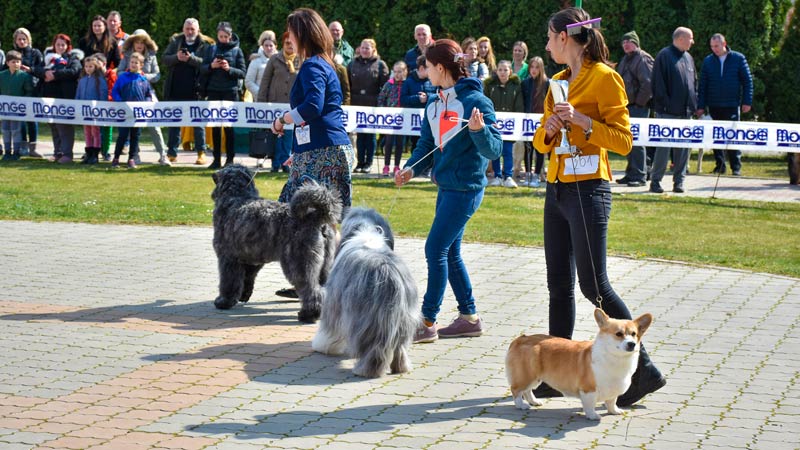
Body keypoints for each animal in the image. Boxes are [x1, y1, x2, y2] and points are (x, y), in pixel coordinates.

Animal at [211, 164, 341, 323]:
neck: (235, 197)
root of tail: (315, 217)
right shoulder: (252, 260)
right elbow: (247, 278)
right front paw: (243, 295)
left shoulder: (227, 258)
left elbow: (228, 282)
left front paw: (224, 301)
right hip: (325, 266)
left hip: (298, 264)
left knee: (311, 289)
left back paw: (308, 314)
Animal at [312, 207, 420, 378]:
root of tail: (390, 276)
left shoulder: (334, 301)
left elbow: (330, 327)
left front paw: (322, 345)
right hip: (405, 317)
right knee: (400, 346)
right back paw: (401, 367)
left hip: (366, 318)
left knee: (374, 348)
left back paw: (366, 370)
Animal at [505, 308, 653, 420]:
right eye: (618, 334)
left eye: (634, 334)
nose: (632, 344)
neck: (616, 358)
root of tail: (520, 339)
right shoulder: (588, 390)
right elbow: (590, 405)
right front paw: (593, 416)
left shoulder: (613, 388)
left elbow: (612, 401)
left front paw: (614, 411)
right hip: (527, 375)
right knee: (516, 390)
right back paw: (521, 405)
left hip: (535, 377)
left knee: (527, 390)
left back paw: (534, 401)